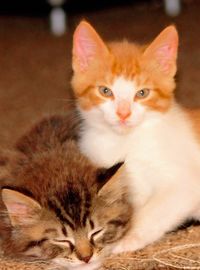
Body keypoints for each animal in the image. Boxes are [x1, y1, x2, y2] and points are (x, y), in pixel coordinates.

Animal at [71, 20, 200, 253]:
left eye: (142, 93)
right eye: (105, 91)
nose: (123, 114)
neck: (125, 142)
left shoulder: (186, 183)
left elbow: (151, 212)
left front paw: (126, 239)